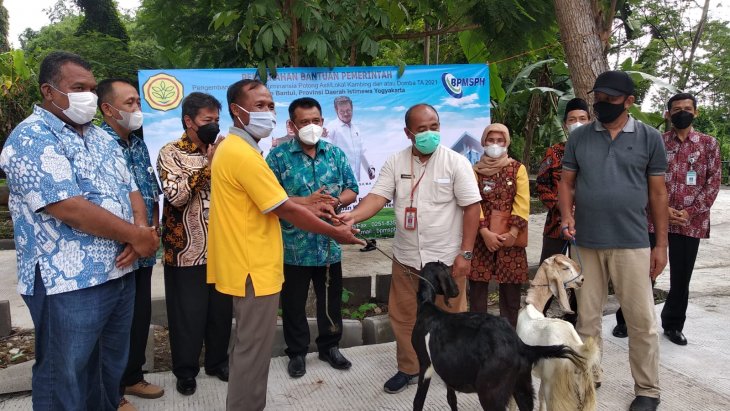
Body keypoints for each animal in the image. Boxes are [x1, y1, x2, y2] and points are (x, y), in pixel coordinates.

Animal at [412, 262, 584, 410]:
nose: (457, 291)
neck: (427, 307)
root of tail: (520, 346)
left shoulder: (425, 364)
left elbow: (418, 401)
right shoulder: (448, 370)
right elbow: (451, 399)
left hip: (490, 390)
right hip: (522, 385)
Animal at [512, 254, 596, 411]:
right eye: (565, 267)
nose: (582, 279)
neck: (531, 307)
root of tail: (576, 347)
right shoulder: (542, 377)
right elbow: (539, 397)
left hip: (556, 388)